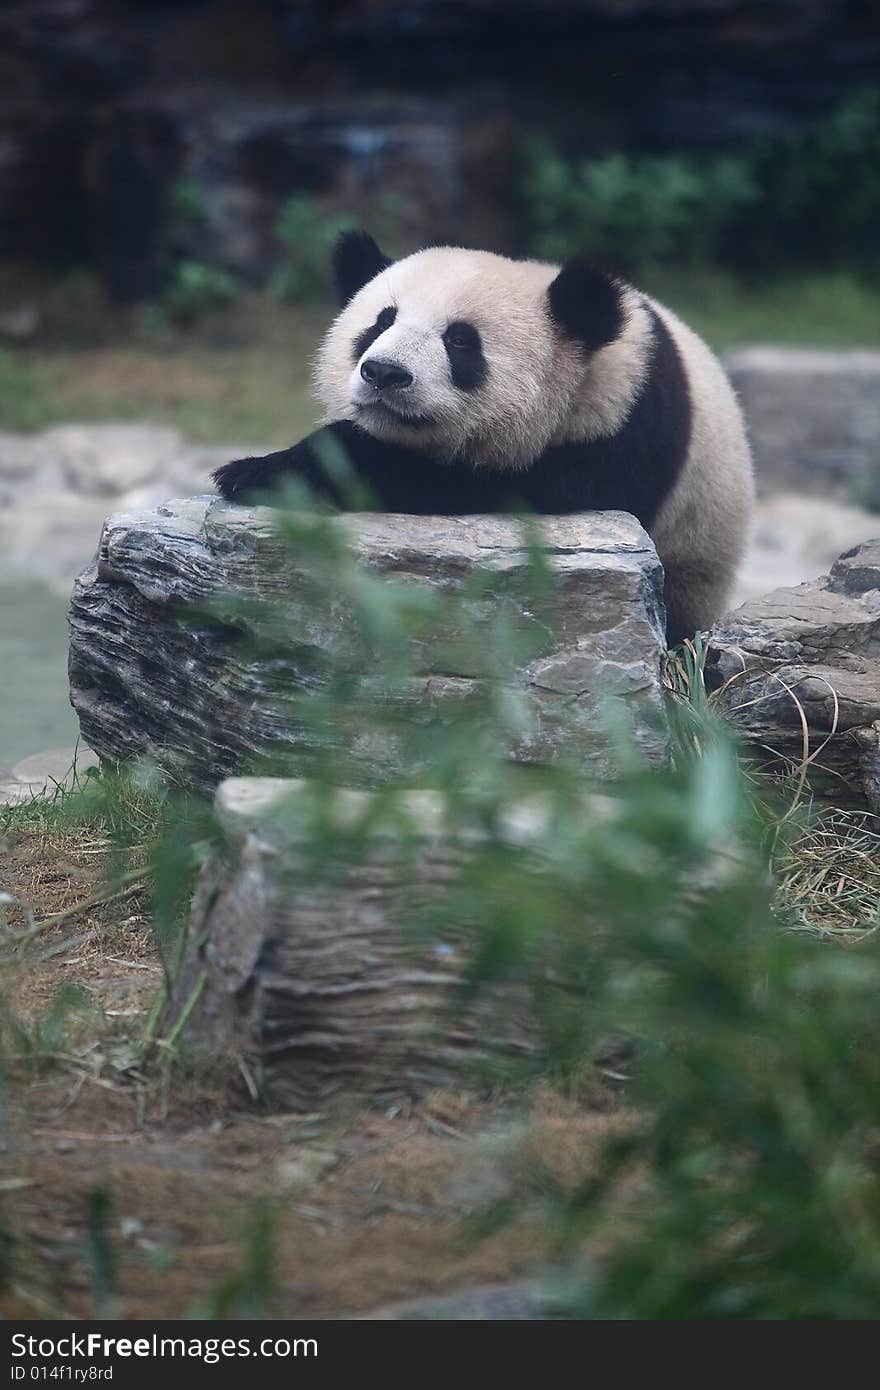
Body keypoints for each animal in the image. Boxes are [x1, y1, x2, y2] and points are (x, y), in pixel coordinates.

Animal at [214, 233, 756, 644]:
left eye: (459, 341)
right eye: (381, 322)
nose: (384, 373)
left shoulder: (622, 431)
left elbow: (483, 487)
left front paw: (258, 471)